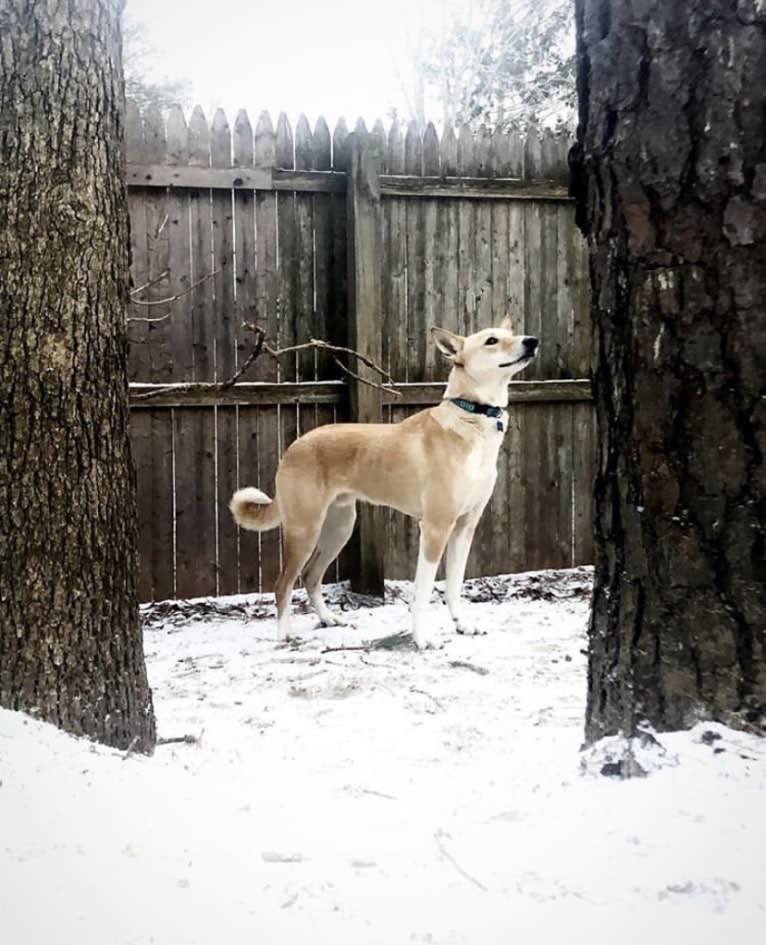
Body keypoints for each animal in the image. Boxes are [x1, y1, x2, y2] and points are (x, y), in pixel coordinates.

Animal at [231, 318, 536, 648]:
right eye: (491, 340)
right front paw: (422, 639)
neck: (472, 418)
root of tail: (293, 446)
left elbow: (454, 586)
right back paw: (284, 635)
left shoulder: (465, 527)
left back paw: (327, 619)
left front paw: (463, 625)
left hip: (339, 526)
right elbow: (423, 592)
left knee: (310, 576)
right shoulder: (435, 528)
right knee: (282, 583)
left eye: (511, 334)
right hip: (304, 529)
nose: (532, 341)